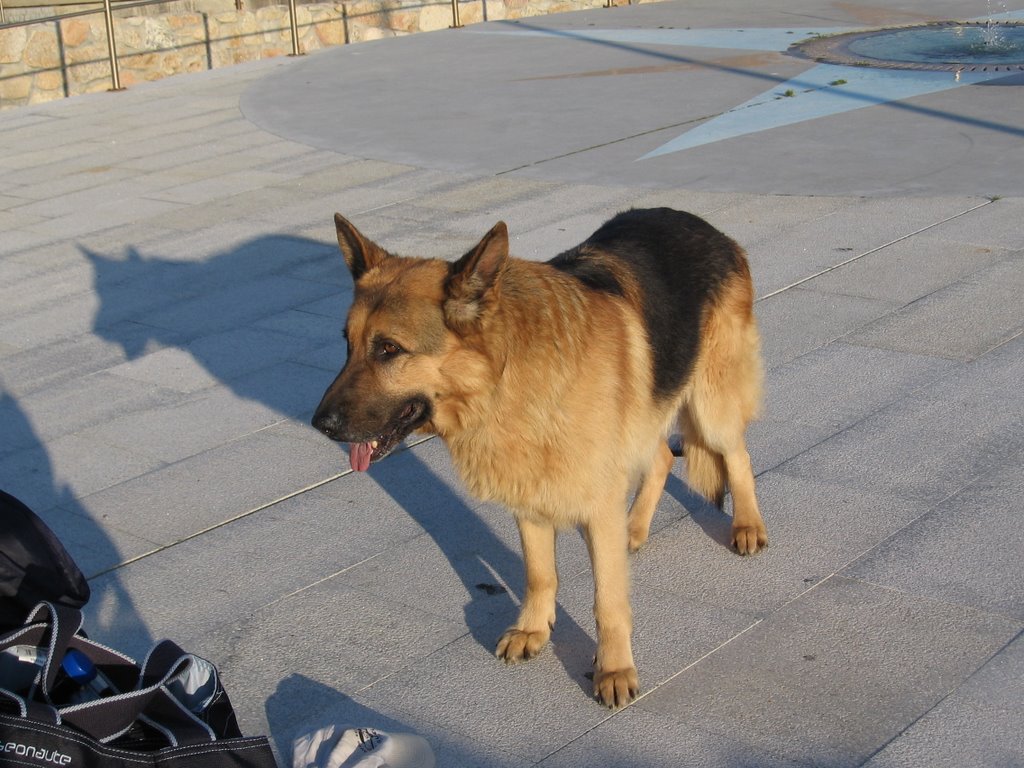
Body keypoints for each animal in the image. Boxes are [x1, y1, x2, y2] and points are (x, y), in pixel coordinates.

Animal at [311, 208, 770, 708]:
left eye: (389, 349)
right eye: (347, 344)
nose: (320, 424)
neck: (504, 378)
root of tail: (704, 225)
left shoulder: (592, 502)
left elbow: (608, 600)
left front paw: (613, 668)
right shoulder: (529, 496)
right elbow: (539, 573)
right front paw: (533, 629)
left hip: (711, 407)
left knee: (738, 456)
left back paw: (747, 525)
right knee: (663, 459)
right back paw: (634, 528)